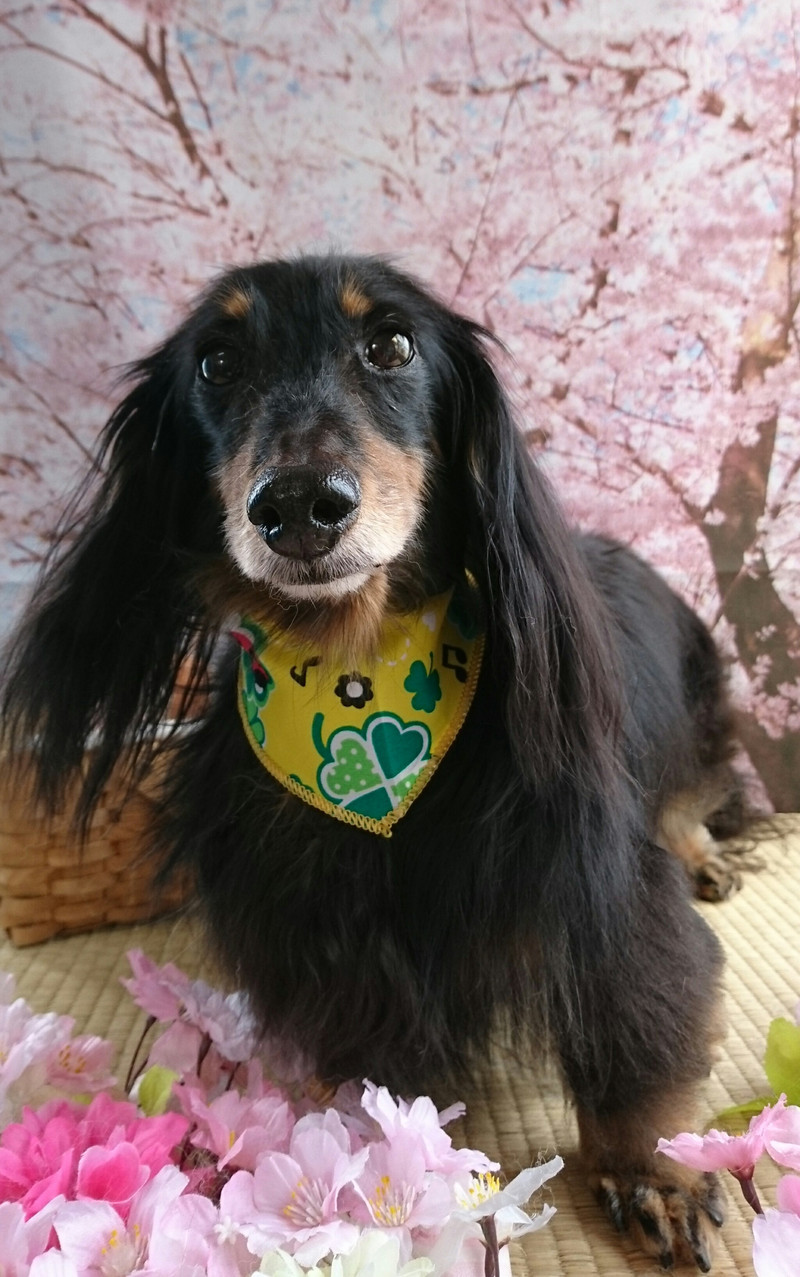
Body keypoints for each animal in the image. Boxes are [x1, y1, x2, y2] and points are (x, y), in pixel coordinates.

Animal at [2, 254, 747, 1269]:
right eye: (218, 363)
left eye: (391, 344)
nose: (296, 506)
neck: (359, 678)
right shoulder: (323, 939)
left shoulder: (607, 898)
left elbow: (637, 1027)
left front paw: (655, 1171)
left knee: (694, 800)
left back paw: (707, 856)